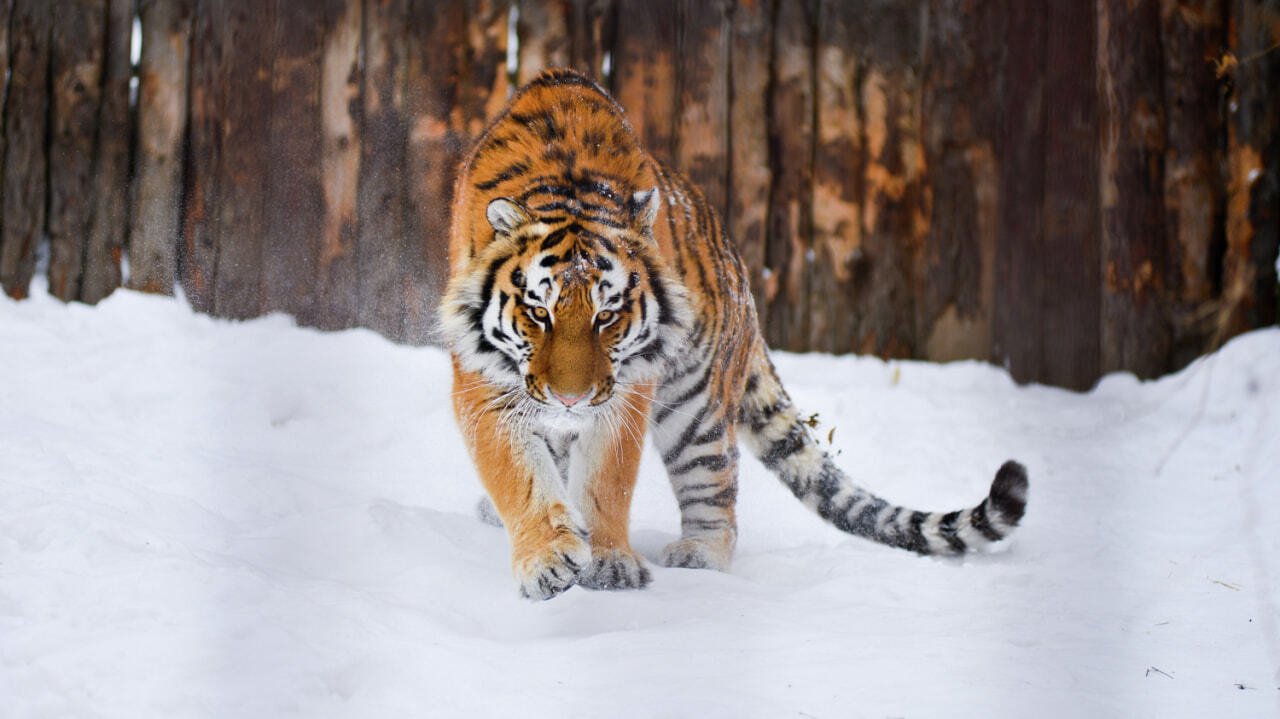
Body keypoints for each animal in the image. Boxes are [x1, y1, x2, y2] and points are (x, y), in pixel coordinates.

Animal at [442, 70, 1029, 598]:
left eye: (606, 316)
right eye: (539, 313)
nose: (572, 398)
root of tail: (739, 272)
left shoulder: (628, 389)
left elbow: (606, 478)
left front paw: (608, 563)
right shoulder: (484, 384)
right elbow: (521, 475)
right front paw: (547, 558)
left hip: (697, 408)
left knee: (714, 491)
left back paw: (698, 557)